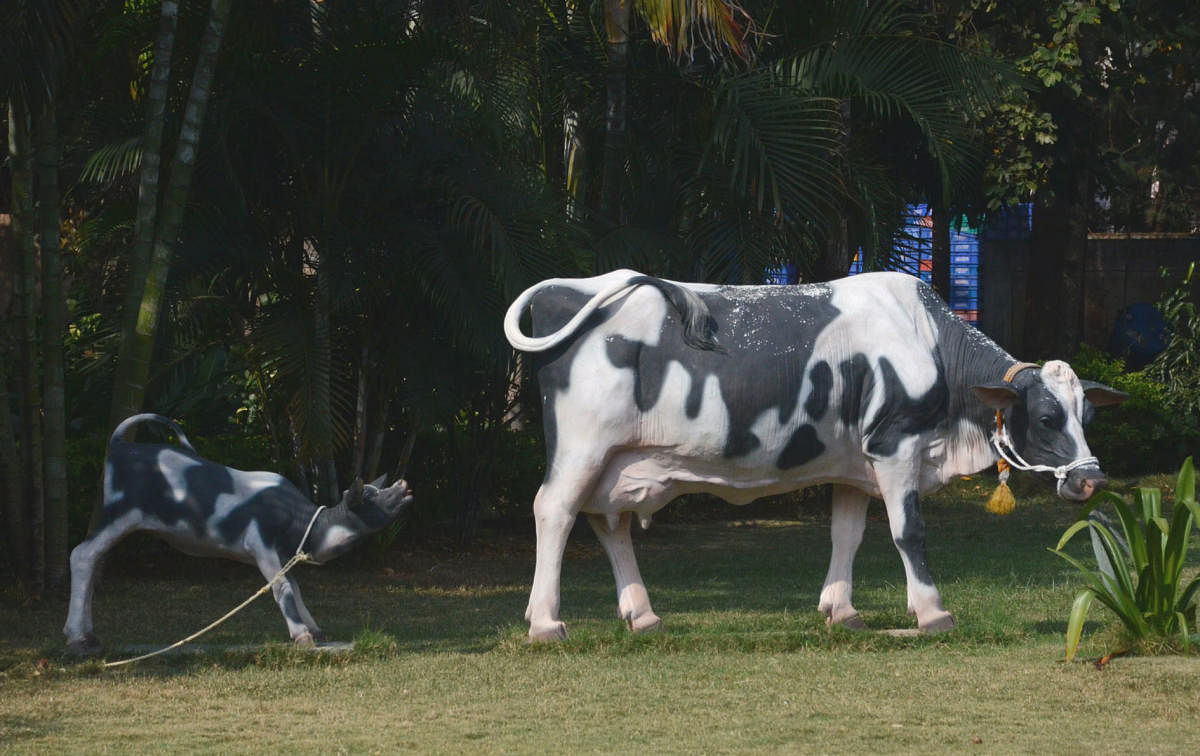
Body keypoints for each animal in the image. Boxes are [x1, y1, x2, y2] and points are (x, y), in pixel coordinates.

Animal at [501, 270, 1118, 643]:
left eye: (1086, 417)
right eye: (1047, 418)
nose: (1091, 480)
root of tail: (572, 285)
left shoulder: (855, 464)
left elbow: (847, 534)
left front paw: (842, 611)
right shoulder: (894, 445)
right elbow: (908, 532)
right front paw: (932, 610)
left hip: (617, 458)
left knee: (609, 524)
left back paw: (644, 615)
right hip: (583, 446)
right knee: (553, 510)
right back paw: (545, 621)